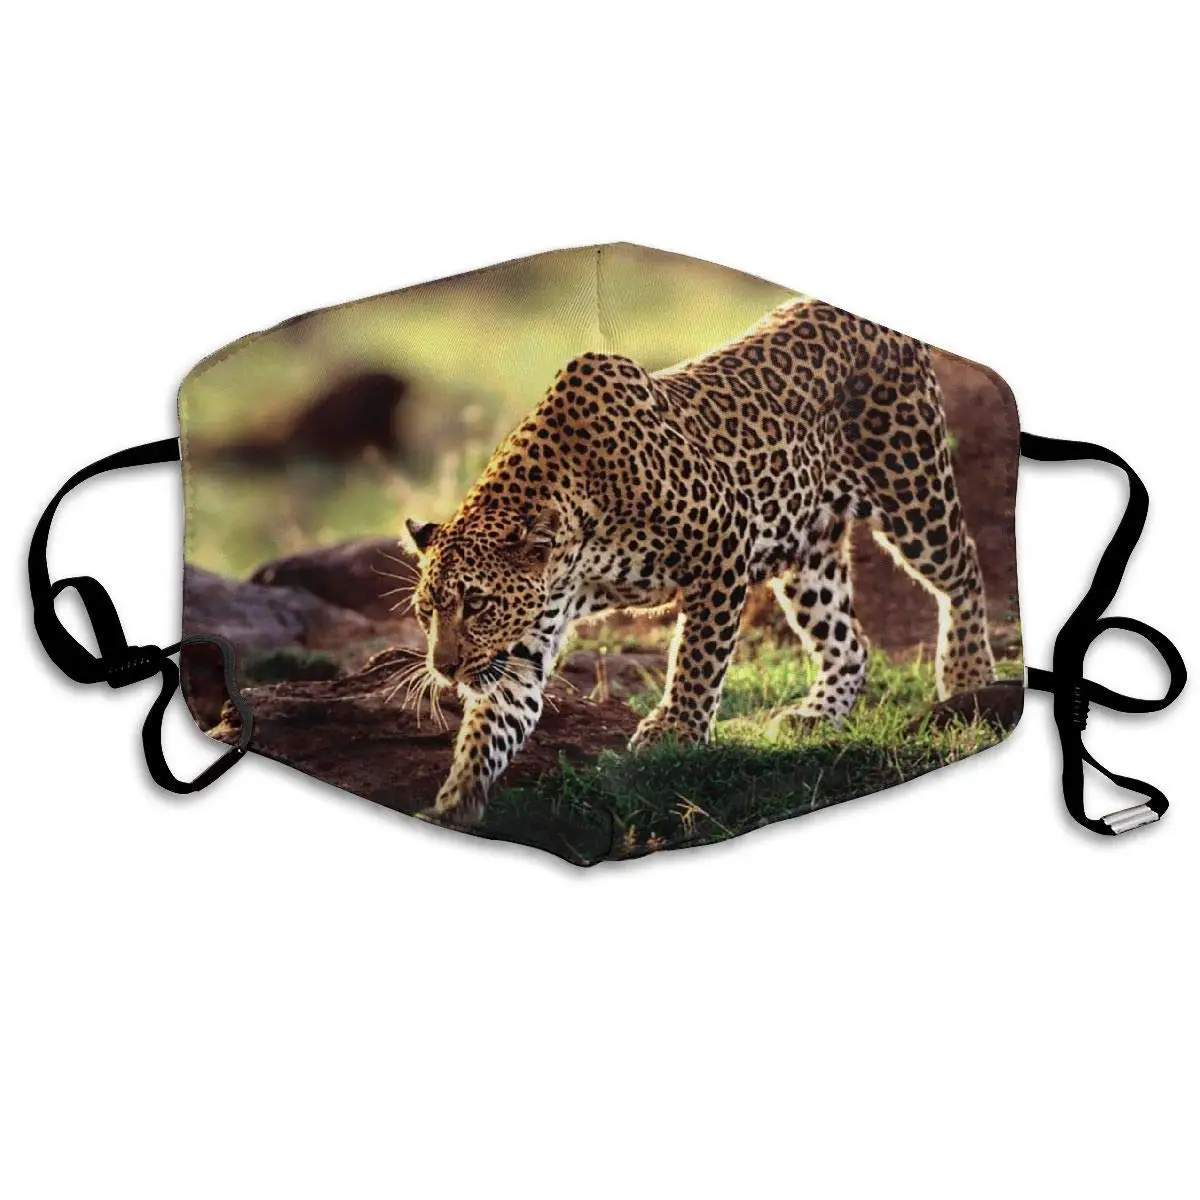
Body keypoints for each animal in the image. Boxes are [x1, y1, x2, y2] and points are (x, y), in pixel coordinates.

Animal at [403, 297, 996, 825]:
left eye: (478, 603)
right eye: (426, 611)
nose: (444, 667)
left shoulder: (724, 542)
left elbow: (697, 655)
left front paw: (678, 732)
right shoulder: (526, 642)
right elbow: (493, 724)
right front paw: (456, 802)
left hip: (912, 490)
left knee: (964, 571)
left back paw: (969, 677)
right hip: (808, 552)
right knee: (849, 641)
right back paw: (815, 716)